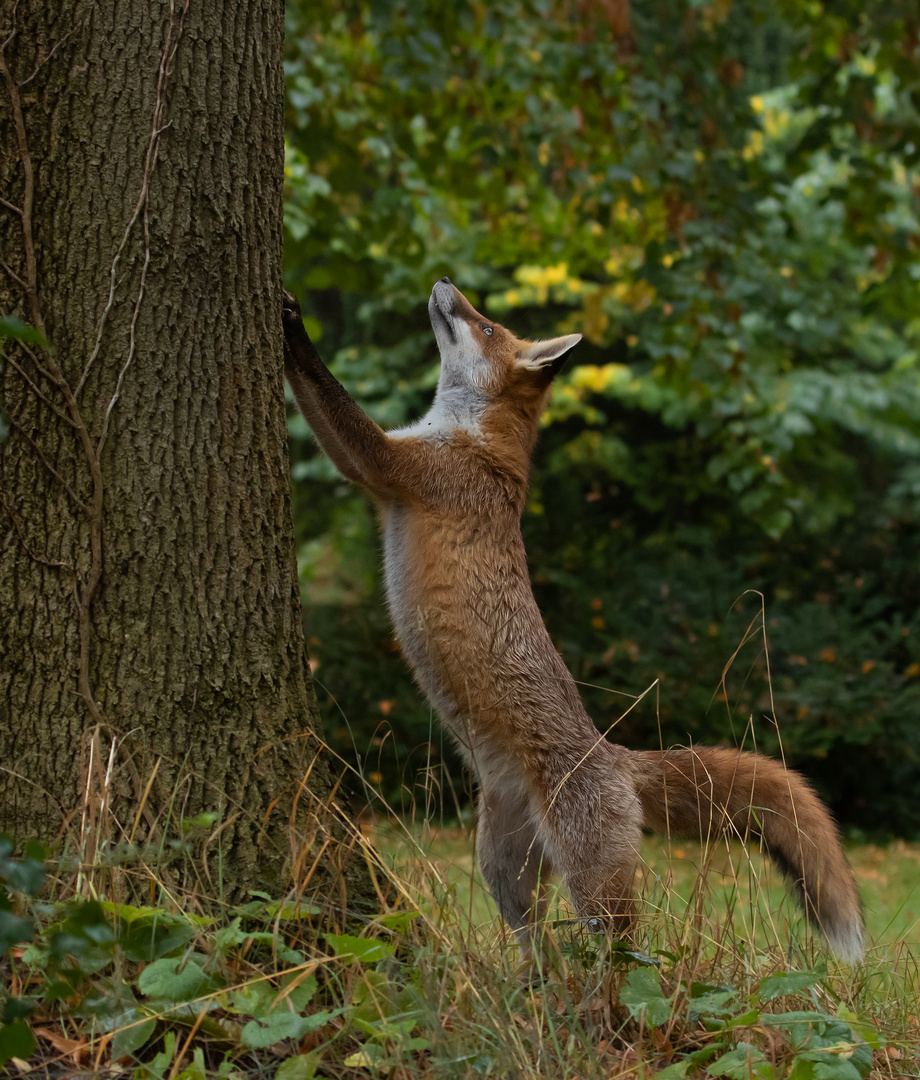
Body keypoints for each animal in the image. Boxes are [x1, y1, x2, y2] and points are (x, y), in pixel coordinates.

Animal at [282, 280, 868, 963]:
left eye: (485, 327)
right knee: (539, 945)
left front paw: (293, 325)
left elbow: (327, 390)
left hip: (591, 887)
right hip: (501, 869)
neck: (474, 439)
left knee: (622, 952)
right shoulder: (383, 481)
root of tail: (611, 754)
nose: (445, 284)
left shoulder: (387, 466)